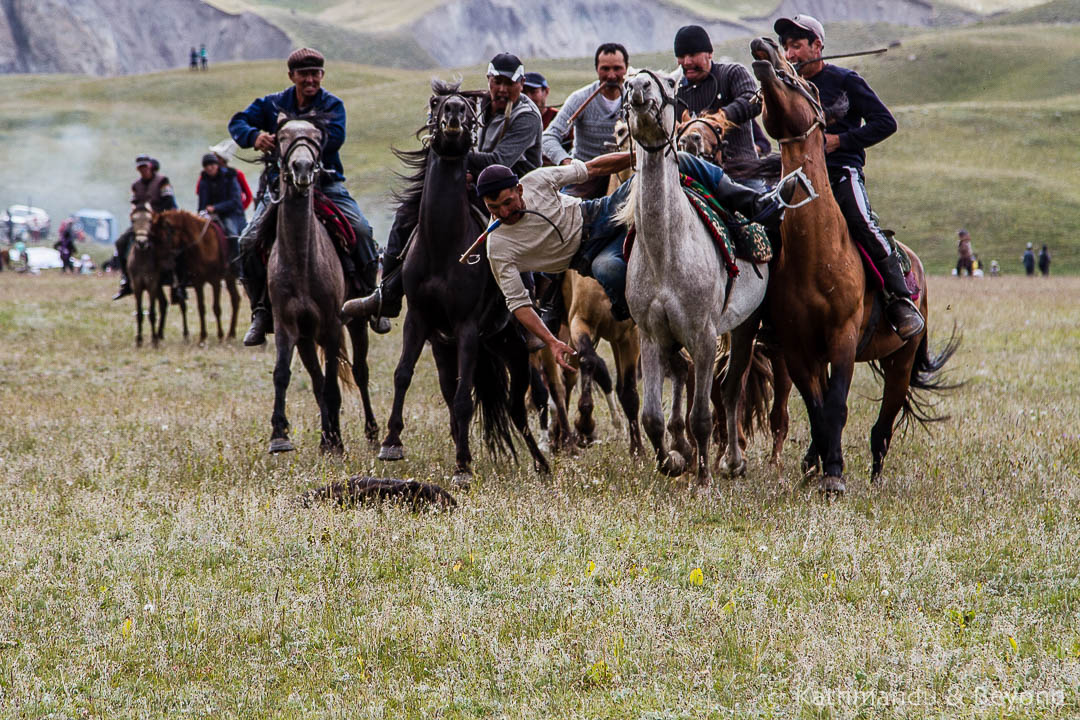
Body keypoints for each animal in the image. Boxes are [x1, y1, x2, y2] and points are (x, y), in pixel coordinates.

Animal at [152, 208, 243, 343]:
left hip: (229, 277)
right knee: (235, 299)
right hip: (229, 278)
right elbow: (201, 308)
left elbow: (216, 308)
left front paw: (220, 335)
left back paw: (229, 334)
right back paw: (231, 334)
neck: (203, 244)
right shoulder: (198, 282)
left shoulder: (215, 281)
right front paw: (203, 337)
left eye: (162, 238)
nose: (156, 264)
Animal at [375, 81, 552, 487]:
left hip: (513, 351)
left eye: (471, 109)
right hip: (449, 348)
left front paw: (463, 467)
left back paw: (541, 463)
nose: (454, 112)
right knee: (454, 390)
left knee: (517, 407)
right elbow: (403, 375)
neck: (443, 245)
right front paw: (391, 443)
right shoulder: (419, 320)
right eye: (436, 102)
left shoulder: (468, 327)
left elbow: (463, 399)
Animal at [617, 69, 768, 490]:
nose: (639, 89)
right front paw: (670, 461)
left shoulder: (704, 335)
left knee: (729, 392)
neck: (667, 253)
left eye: (668, 82)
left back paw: (731, 460)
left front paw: (702, 478)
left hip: (745, 327)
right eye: (627, 83)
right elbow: (651, 416)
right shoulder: (651, 335)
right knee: (684, 378)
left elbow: (703, 415)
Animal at [747, 36, 959, 492]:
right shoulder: (797, 348)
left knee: (884, 425)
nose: (764, 46)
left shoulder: (842, 338)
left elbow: (837, 407)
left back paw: (875, 476)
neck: (816, 254)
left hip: (901, 360)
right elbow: (817, 408)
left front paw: (834, 475)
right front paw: (823, 465)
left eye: (807, 86)